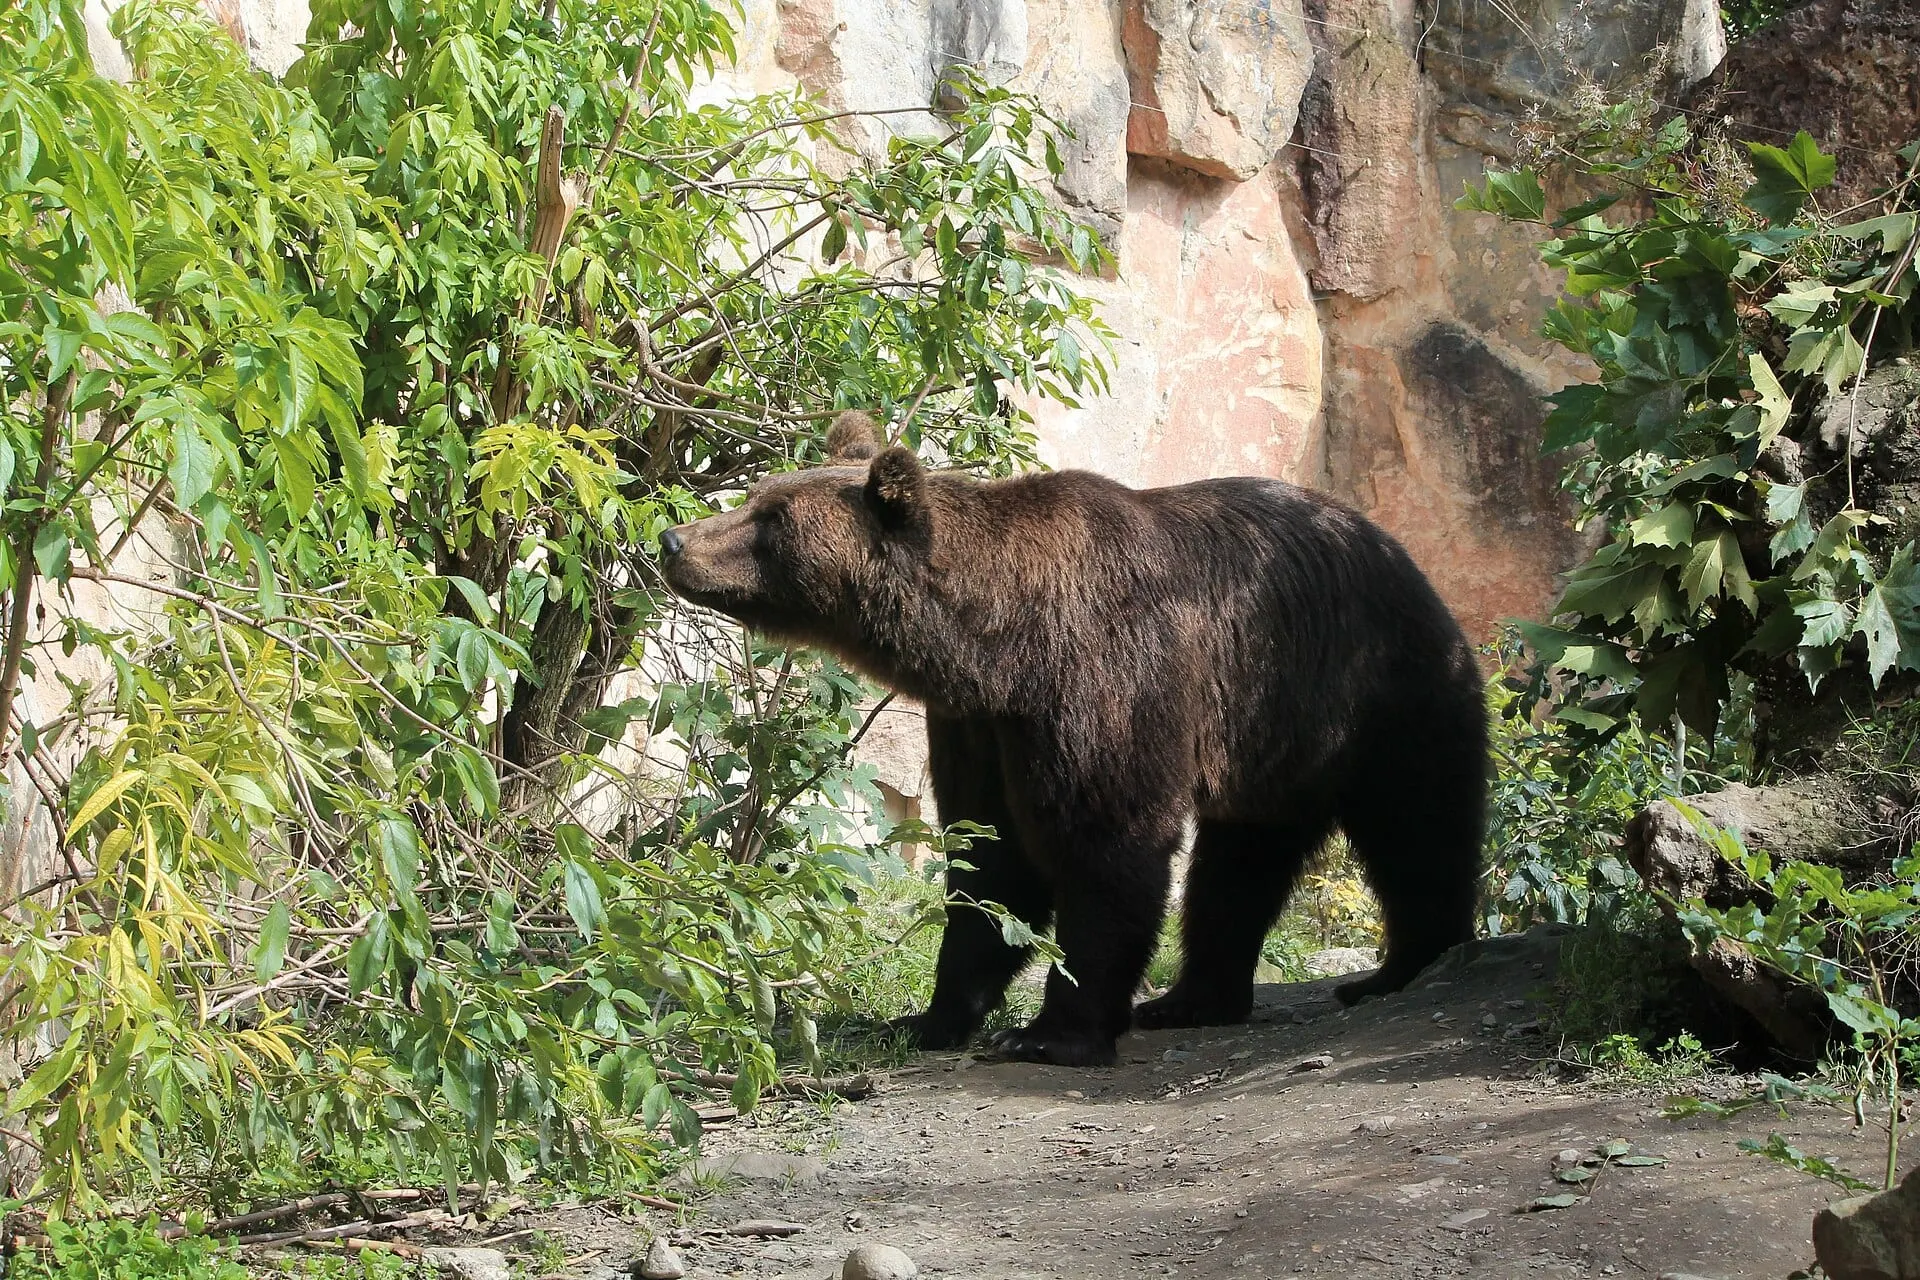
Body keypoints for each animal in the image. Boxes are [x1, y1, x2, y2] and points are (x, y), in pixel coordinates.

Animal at [658, 410, 1488, 1067]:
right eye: (759, 496)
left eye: (772, 518)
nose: (672, 538)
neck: (998, 645)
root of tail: (1400, 554)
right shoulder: (980, 727)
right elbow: (989, 864)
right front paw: (928, 1017)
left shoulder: (1101, 685)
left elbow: (1105, 846)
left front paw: (1049, 1033)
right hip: (1271, 750)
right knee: (1239, 867)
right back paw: (1192, 999)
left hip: (1372, 694)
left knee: (1418, 829)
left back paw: (1399, 969)